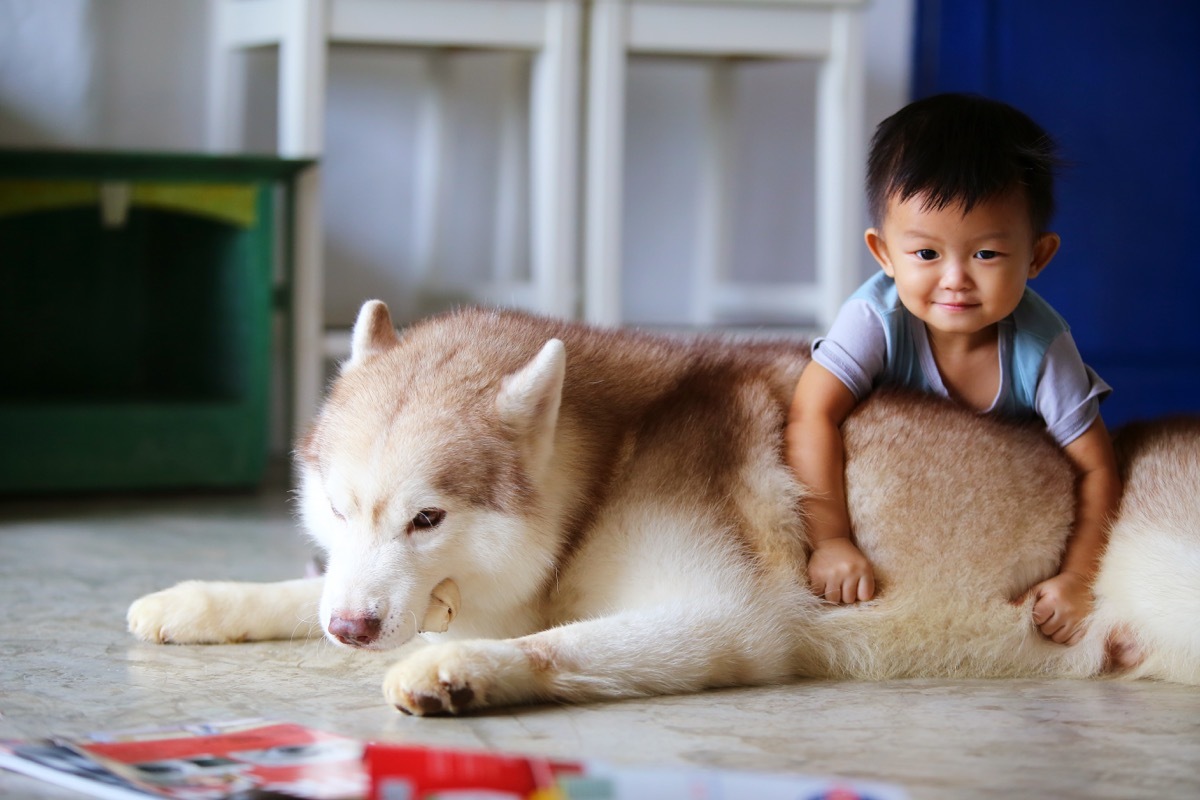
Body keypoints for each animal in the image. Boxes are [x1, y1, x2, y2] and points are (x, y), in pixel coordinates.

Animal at [129, 303, 1200, 714]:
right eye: (342, 509)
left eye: (427, 520)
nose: (352, 631)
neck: (607, 465)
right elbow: (292, 590)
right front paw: (200, 600)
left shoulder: (729, 621)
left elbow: (554, 644)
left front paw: (460, 670)